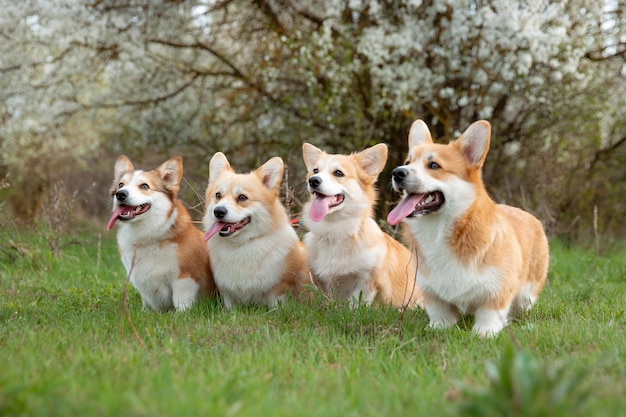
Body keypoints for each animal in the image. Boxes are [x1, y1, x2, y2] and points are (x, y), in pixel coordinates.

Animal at [106, 156, 216, 312]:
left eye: (144, 186)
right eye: (121, 184)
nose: (120, 194)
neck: (148, 235)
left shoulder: (185, 278)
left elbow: (181, 301)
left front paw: (182, 314)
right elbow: (147, 302)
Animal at [202, 151, 310, 308]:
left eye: (242, 197)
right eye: (218, 195)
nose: (218, 211)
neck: (242, 245)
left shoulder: (279, 289)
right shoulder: (227, 294)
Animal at [302, 143, 422, 308]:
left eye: (338, 173)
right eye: (315, 171)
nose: (313, 181)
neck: (336, 231)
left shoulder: (367, 281)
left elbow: (356, 305)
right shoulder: (321, 282)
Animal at [386, 119, 544, 334]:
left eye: (434, 165)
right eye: (408, 162)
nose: (397, 173)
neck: (438, 231)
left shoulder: (497, 289)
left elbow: (490, 313)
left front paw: (484, 333)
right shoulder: (431, 290)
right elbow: (439, 313)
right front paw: (438, 327)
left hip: (527, 293)